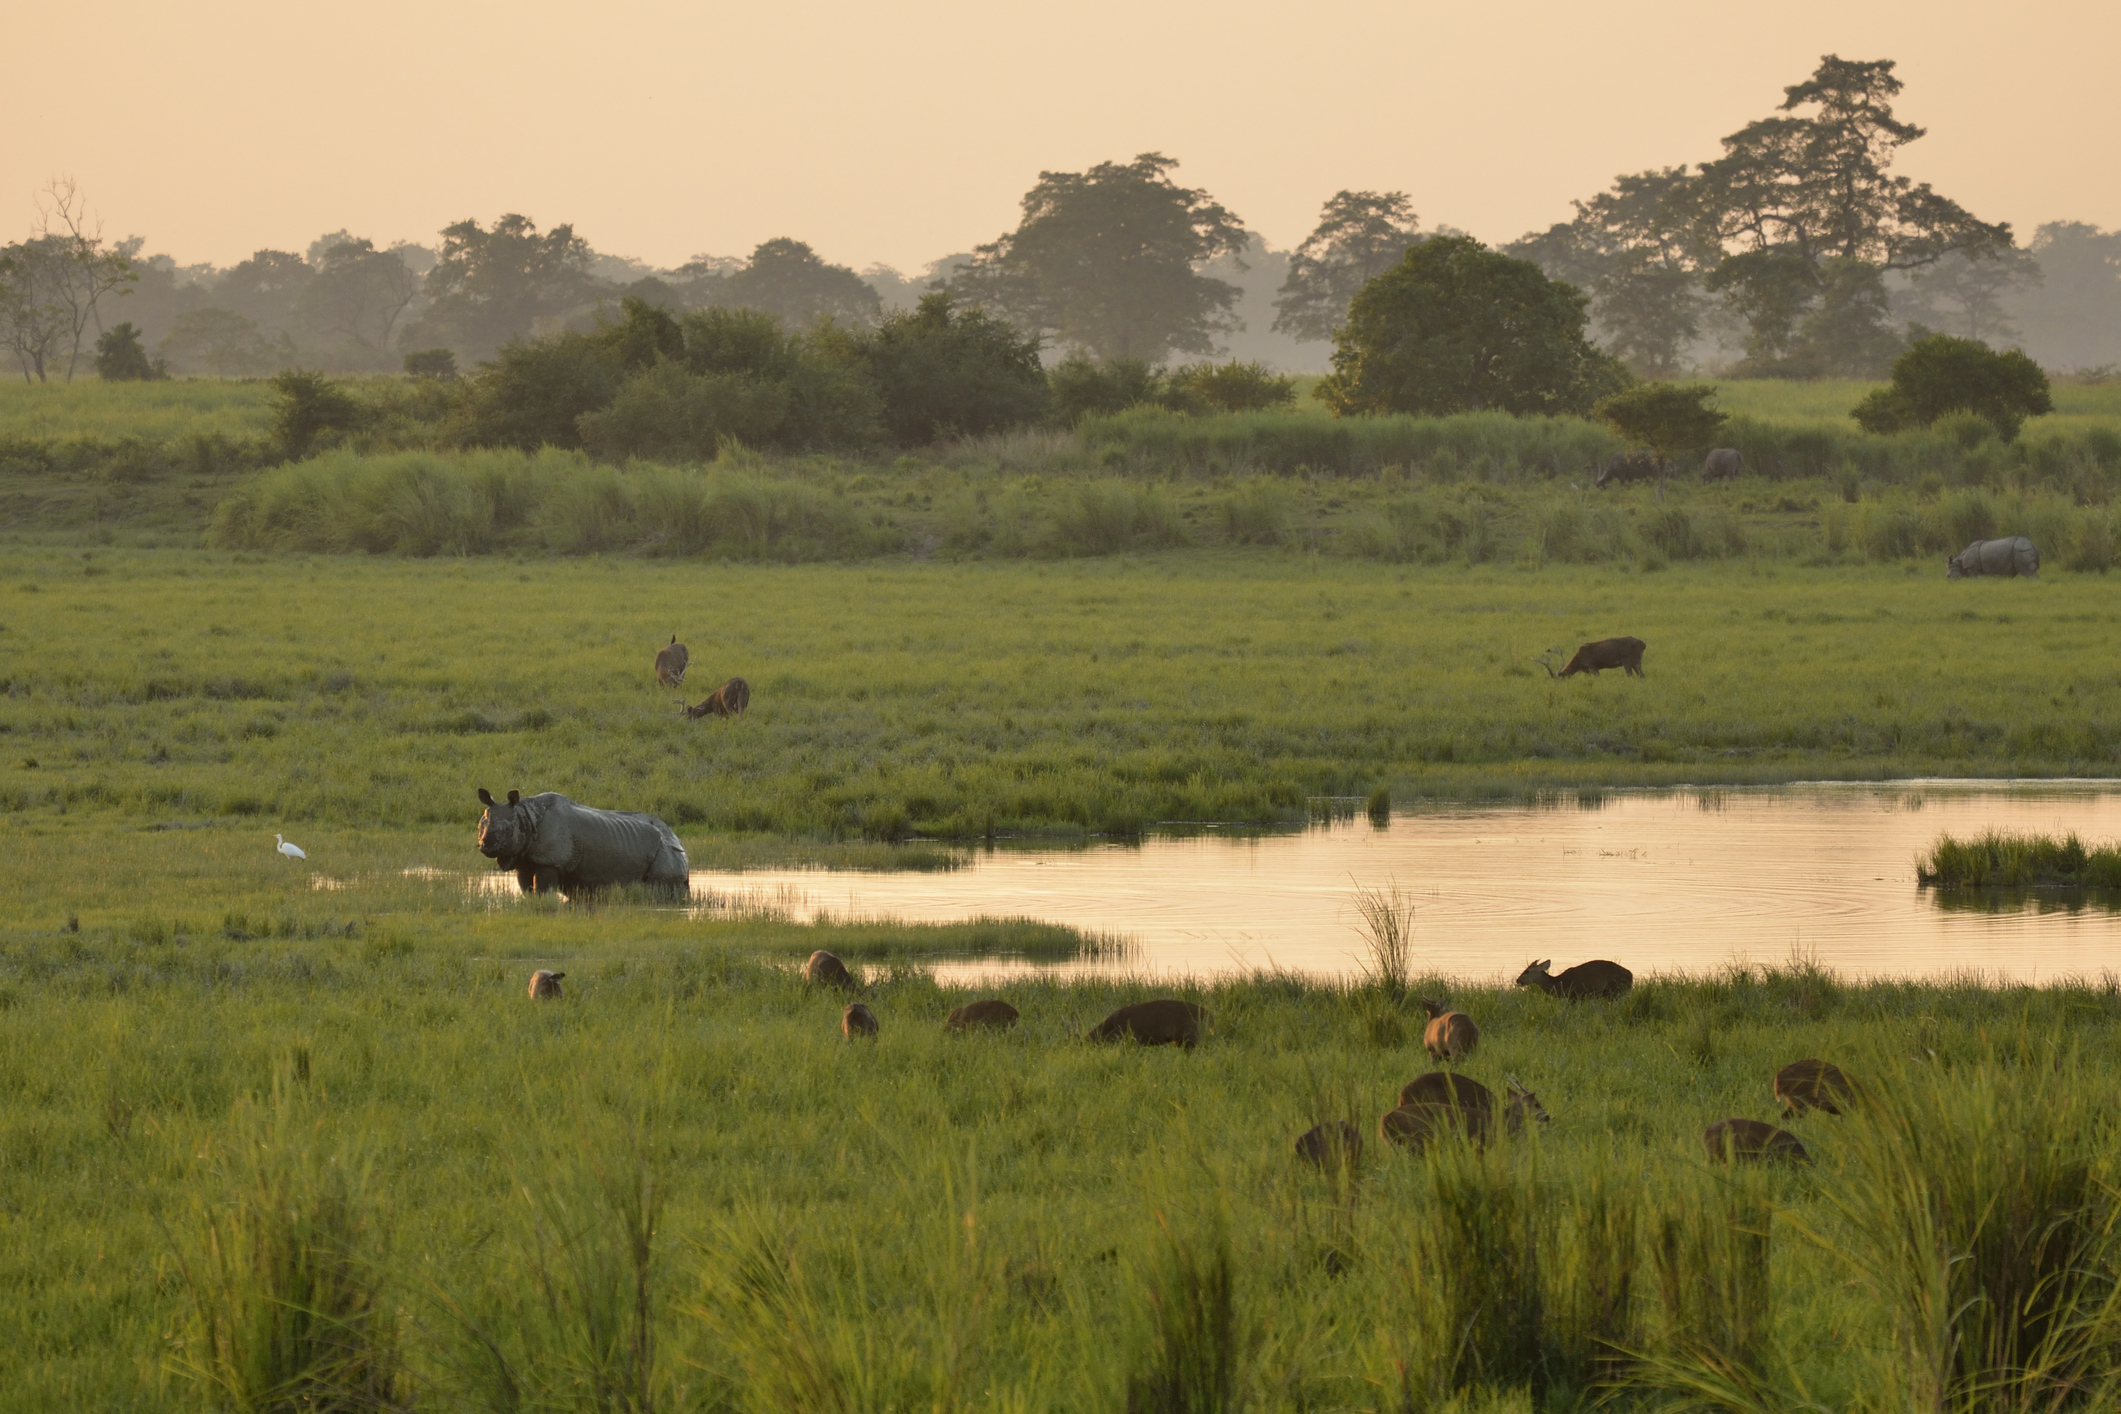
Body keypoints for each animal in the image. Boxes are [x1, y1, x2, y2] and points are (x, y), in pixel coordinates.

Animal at [475, 788, 690, 898]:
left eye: (507, 831)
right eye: (480, 826)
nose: (486, 846)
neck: (525, 815)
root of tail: (679, 840)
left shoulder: (550, 860)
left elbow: (543, 888)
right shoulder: (524, 858)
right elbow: (526, 887)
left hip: (666, 851)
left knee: (658, 888)